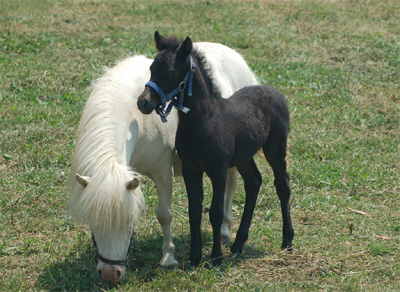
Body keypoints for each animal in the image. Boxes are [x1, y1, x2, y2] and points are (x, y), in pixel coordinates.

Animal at [67, 42, 258, 284]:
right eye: (93, 221)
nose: (110, 274)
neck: (137, 120)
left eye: (128, 221)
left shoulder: (163, 173)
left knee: (231, 185)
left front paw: (169, 257)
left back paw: (225, 231)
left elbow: (164, 215)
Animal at [138, 32, 294, 266]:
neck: (201, 121)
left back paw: (287, 240)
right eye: (151, 69)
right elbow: (194, 211)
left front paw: (216, 257)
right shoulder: (191, 170)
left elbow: (216, 212)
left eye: (172, 72)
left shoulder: (218, 170)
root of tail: (273, 90)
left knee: (282, 185)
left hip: (275, 148)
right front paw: (194, 257)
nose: (143, 102)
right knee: (254, 182)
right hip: (244, 156)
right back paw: (238, 244)